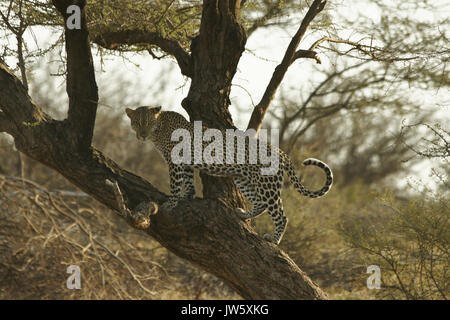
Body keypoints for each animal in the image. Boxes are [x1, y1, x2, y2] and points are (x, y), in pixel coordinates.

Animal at [125, 106, 332, 244]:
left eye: (148, 123)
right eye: (136, 123)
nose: (142, 135)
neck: (159, 130)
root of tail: (282, 153)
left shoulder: (175, 161)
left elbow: (176, 184)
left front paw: (171, 203)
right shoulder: (186, 162)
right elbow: (188, 181)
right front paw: (188, 196)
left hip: (268, 185)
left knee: (281, 215)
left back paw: (274, 239)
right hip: (243, 179)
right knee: (260, 203)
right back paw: (243, 214)